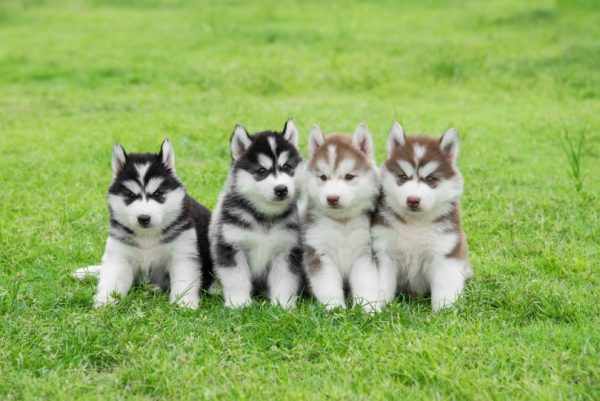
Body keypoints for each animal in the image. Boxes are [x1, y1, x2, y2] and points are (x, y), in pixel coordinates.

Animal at [73, 139, 213, 308]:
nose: (144, 218)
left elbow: (183, 282)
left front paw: (183, 304)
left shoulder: (183, 255)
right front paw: (105, 301)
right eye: (130, 195)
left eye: (158, 194)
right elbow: (112, 279)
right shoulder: (120, 255)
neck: (147, 236)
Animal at [210, 120, 304, 308]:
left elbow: (284, 280)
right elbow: (236, 279)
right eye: (261, 171)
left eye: (287, 167)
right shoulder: (230, 245)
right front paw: (238, 303)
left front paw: (283, 304)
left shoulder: (287, 249)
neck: (264, 216)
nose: (281, 189)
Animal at [304, 123, 380, 310]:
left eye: (349, 176)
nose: (332, 198)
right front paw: (335, 309)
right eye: (323, 177)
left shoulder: (365, 254)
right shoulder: (320, 254)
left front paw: (369, 309)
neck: (342, 223)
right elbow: (328, 286)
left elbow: (366, 283)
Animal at [372, 122, 472, 310]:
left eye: (430, 179)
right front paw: (376, 307)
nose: (413, 200)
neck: (414, 223)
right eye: (403, 177)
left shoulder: (445, 251)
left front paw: (444, 311)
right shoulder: (383, 251)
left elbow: (444, 288)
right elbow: (380, 285)